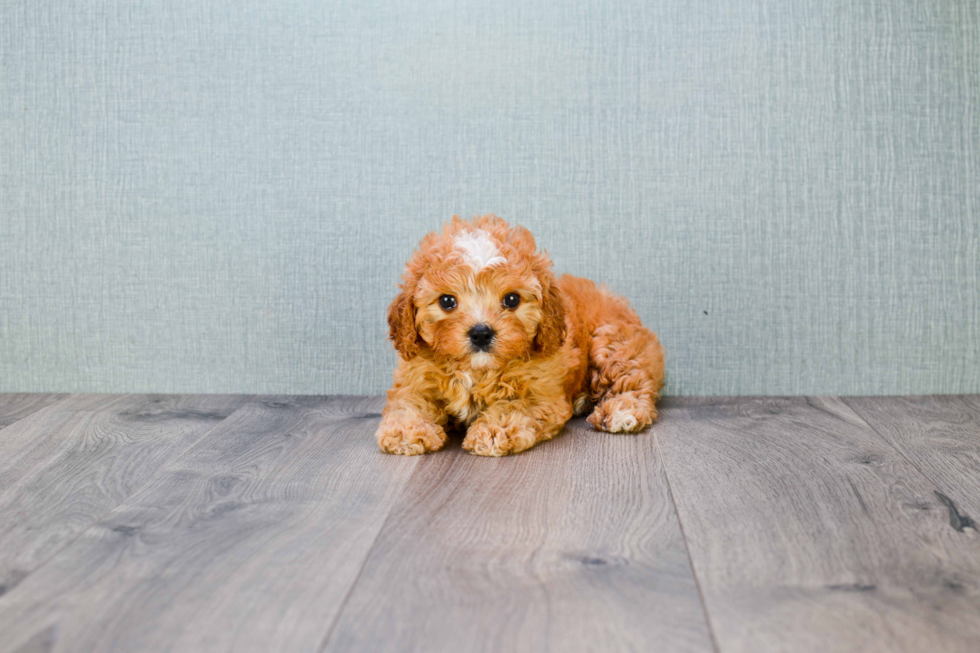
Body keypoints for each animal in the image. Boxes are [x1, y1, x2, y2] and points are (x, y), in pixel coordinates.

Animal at [378, 216, 668, 456]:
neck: (477, 371)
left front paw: (493, 432)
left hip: (612, 343)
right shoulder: (414, 380)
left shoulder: (541, 393)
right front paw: (405, 432)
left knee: (633, 381)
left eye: (512, 299)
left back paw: (622, 412)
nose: (481, 333)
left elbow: (513, 407)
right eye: (447, 301)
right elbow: (408, 403)